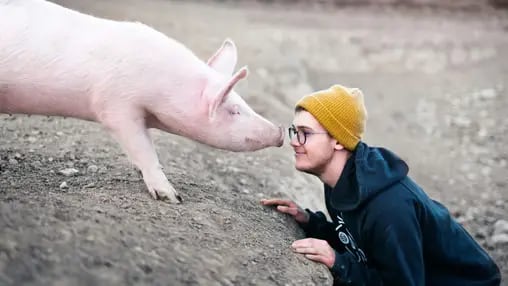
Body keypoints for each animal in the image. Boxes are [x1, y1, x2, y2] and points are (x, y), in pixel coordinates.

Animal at [0, 1, 286, 204]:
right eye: (234, 110)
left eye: (243, 103)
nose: (280, 132)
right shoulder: (115, 104)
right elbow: (143, 148)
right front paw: (172, 198)